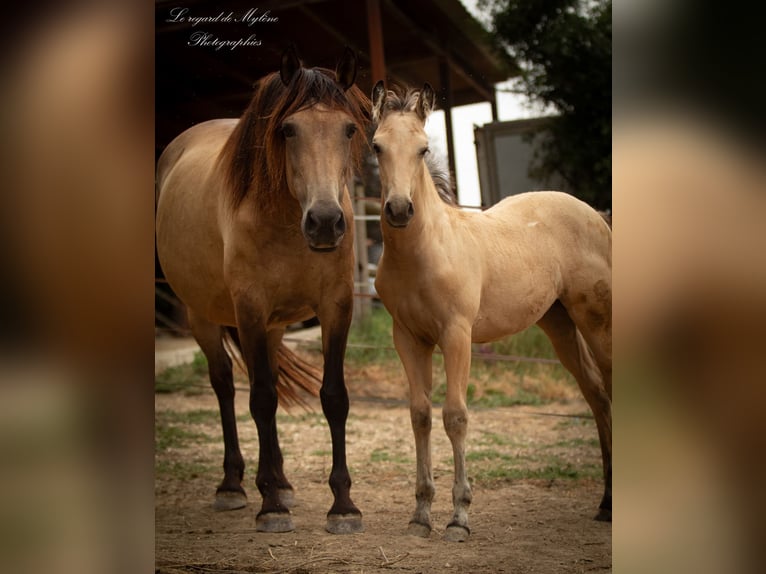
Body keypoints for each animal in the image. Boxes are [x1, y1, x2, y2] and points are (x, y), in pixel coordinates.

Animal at [155, 46, 369, 534]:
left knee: (261, 378)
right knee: (226, 387)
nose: (325, 222)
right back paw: (234, 486)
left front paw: (343, 506)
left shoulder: (335, 307)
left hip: (272, 327)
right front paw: (270, 507)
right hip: (204, 315)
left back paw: (280, 481)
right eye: (288, 129)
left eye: (348, 129)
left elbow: (333, 397)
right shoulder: (249, 309)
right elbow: (262, 401)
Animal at [370, 82, 612, 541]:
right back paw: (607, 504)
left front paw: (459, 518)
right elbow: (420, 415)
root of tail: (595, 214)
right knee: (596, 394)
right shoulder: (407, 337)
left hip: (597, 318)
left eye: (423, 149)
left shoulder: (456, 334)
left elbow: (455, 416)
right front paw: (420, 515)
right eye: (376, 146)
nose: (399, 210)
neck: (426, 250)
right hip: (559, 323)